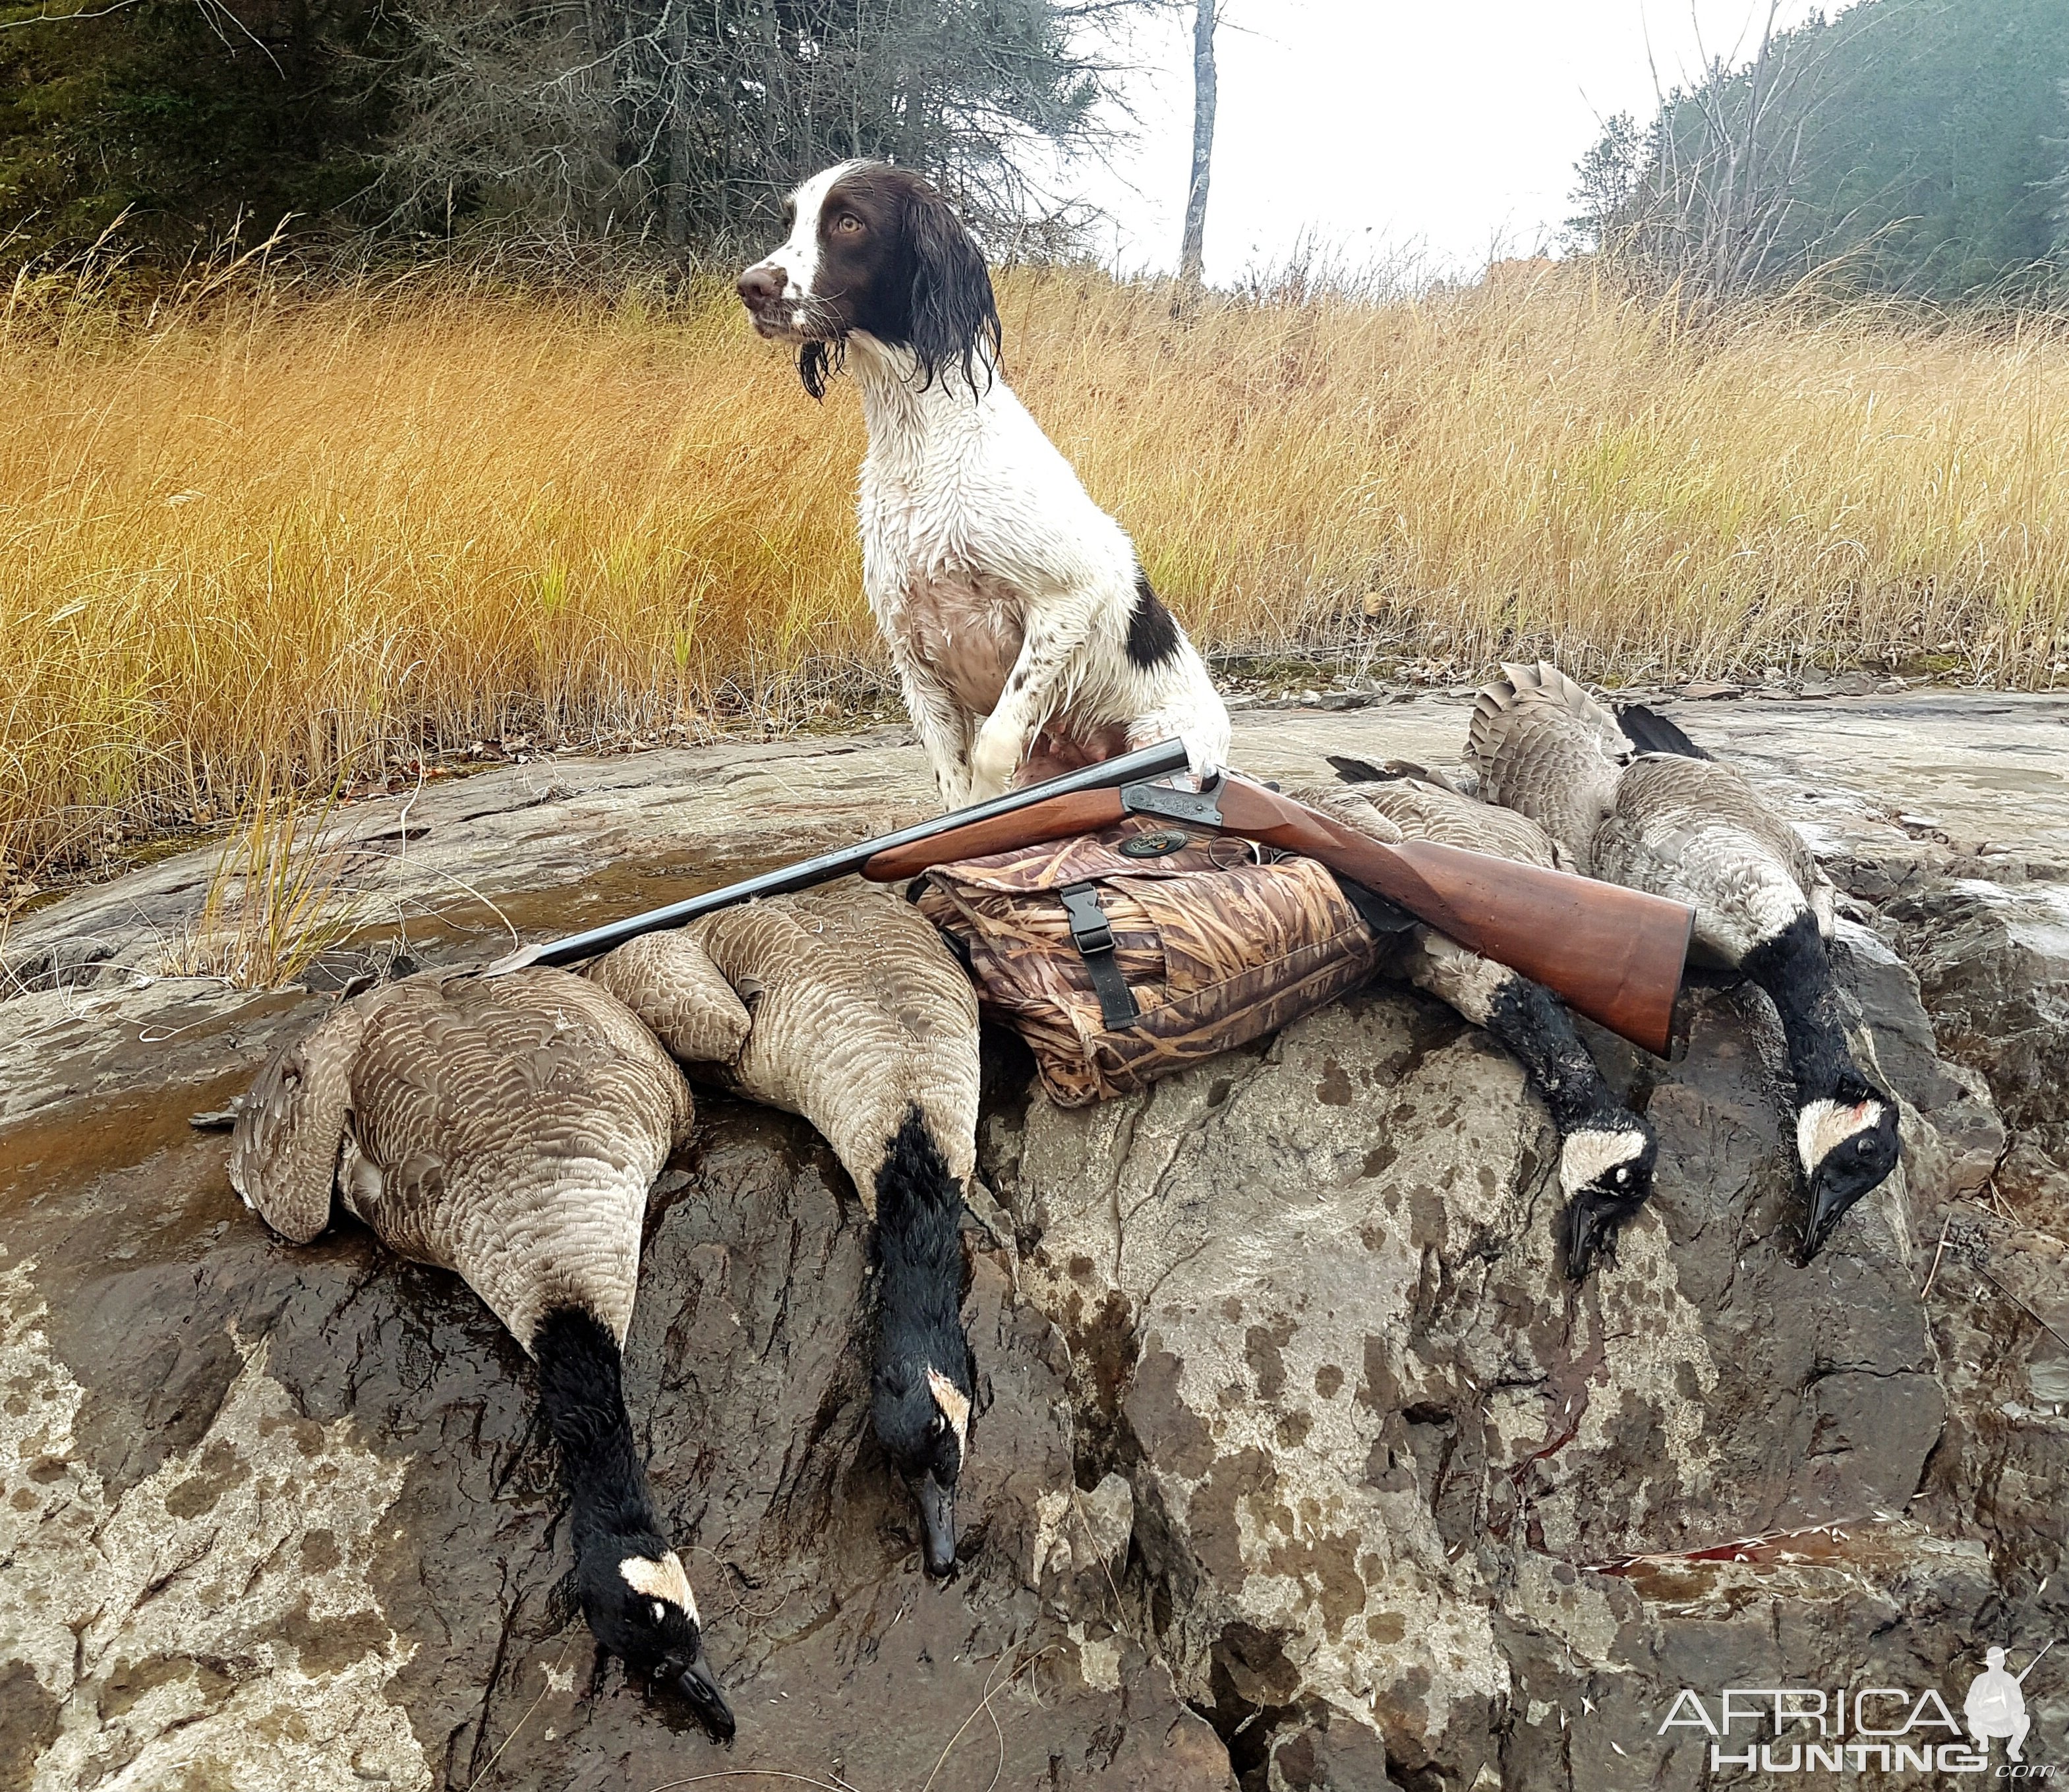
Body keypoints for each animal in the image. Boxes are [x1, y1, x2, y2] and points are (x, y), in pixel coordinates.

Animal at [740, 164, 1225, 807]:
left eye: (848, 222)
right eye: (790, 220)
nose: (750, 286)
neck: (920, 445)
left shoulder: (1068, 601)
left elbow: (995, 743)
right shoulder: (913, 654)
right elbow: (953, 780)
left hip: (1160, 741)